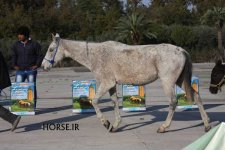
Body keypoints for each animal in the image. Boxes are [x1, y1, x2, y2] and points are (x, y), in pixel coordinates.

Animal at [40, 33, 211, 132]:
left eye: (51, 49)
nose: (44, 66)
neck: (96, 55)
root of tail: (181, 50)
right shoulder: (111, 85)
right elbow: (114, 103)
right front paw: (115, 125)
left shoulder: (105, 83)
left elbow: (94, 101)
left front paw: (106, 123)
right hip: (180, 81)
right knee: (196, 96)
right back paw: (207, 125)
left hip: (168, 82)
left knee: (173, 102)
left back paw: (163, 127)